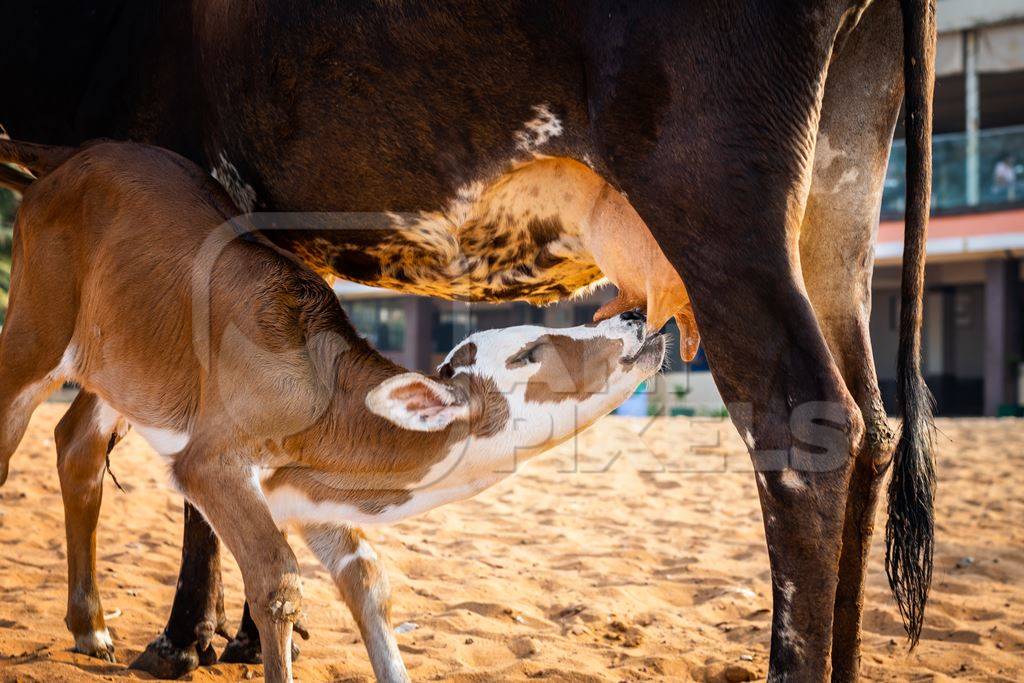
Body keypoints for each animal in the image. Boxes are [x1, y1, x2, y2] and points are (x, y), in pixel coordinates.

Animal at [0, 140, 663, 683]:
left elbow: (367, 582)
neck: (326, 398)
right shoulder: (209, 464)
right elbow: (278, 582)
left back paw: (90, 627)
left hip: (121, 371)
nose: (635, 318)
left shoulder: (308, 496)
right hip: (35, 332)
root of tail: (68, 157)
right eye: (528, 352)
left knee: (78, 446)